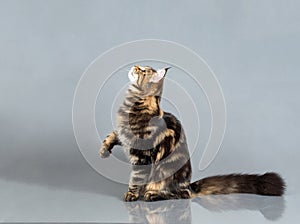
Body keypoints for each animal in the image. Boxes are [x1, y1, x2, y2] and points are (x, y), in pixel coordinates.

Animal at [99, 65, 286, 201]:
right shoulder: (122, 134)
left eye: (144, 71)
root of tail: (189, 184)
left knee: (180, 195)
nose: (135, 66)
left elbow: (136, 178)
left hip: (166, 175)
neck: (132, 104)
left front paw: (131, 194)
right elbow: (111, 136)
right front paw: (104, 150)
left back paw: (152, 194)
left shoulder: (142, 156)